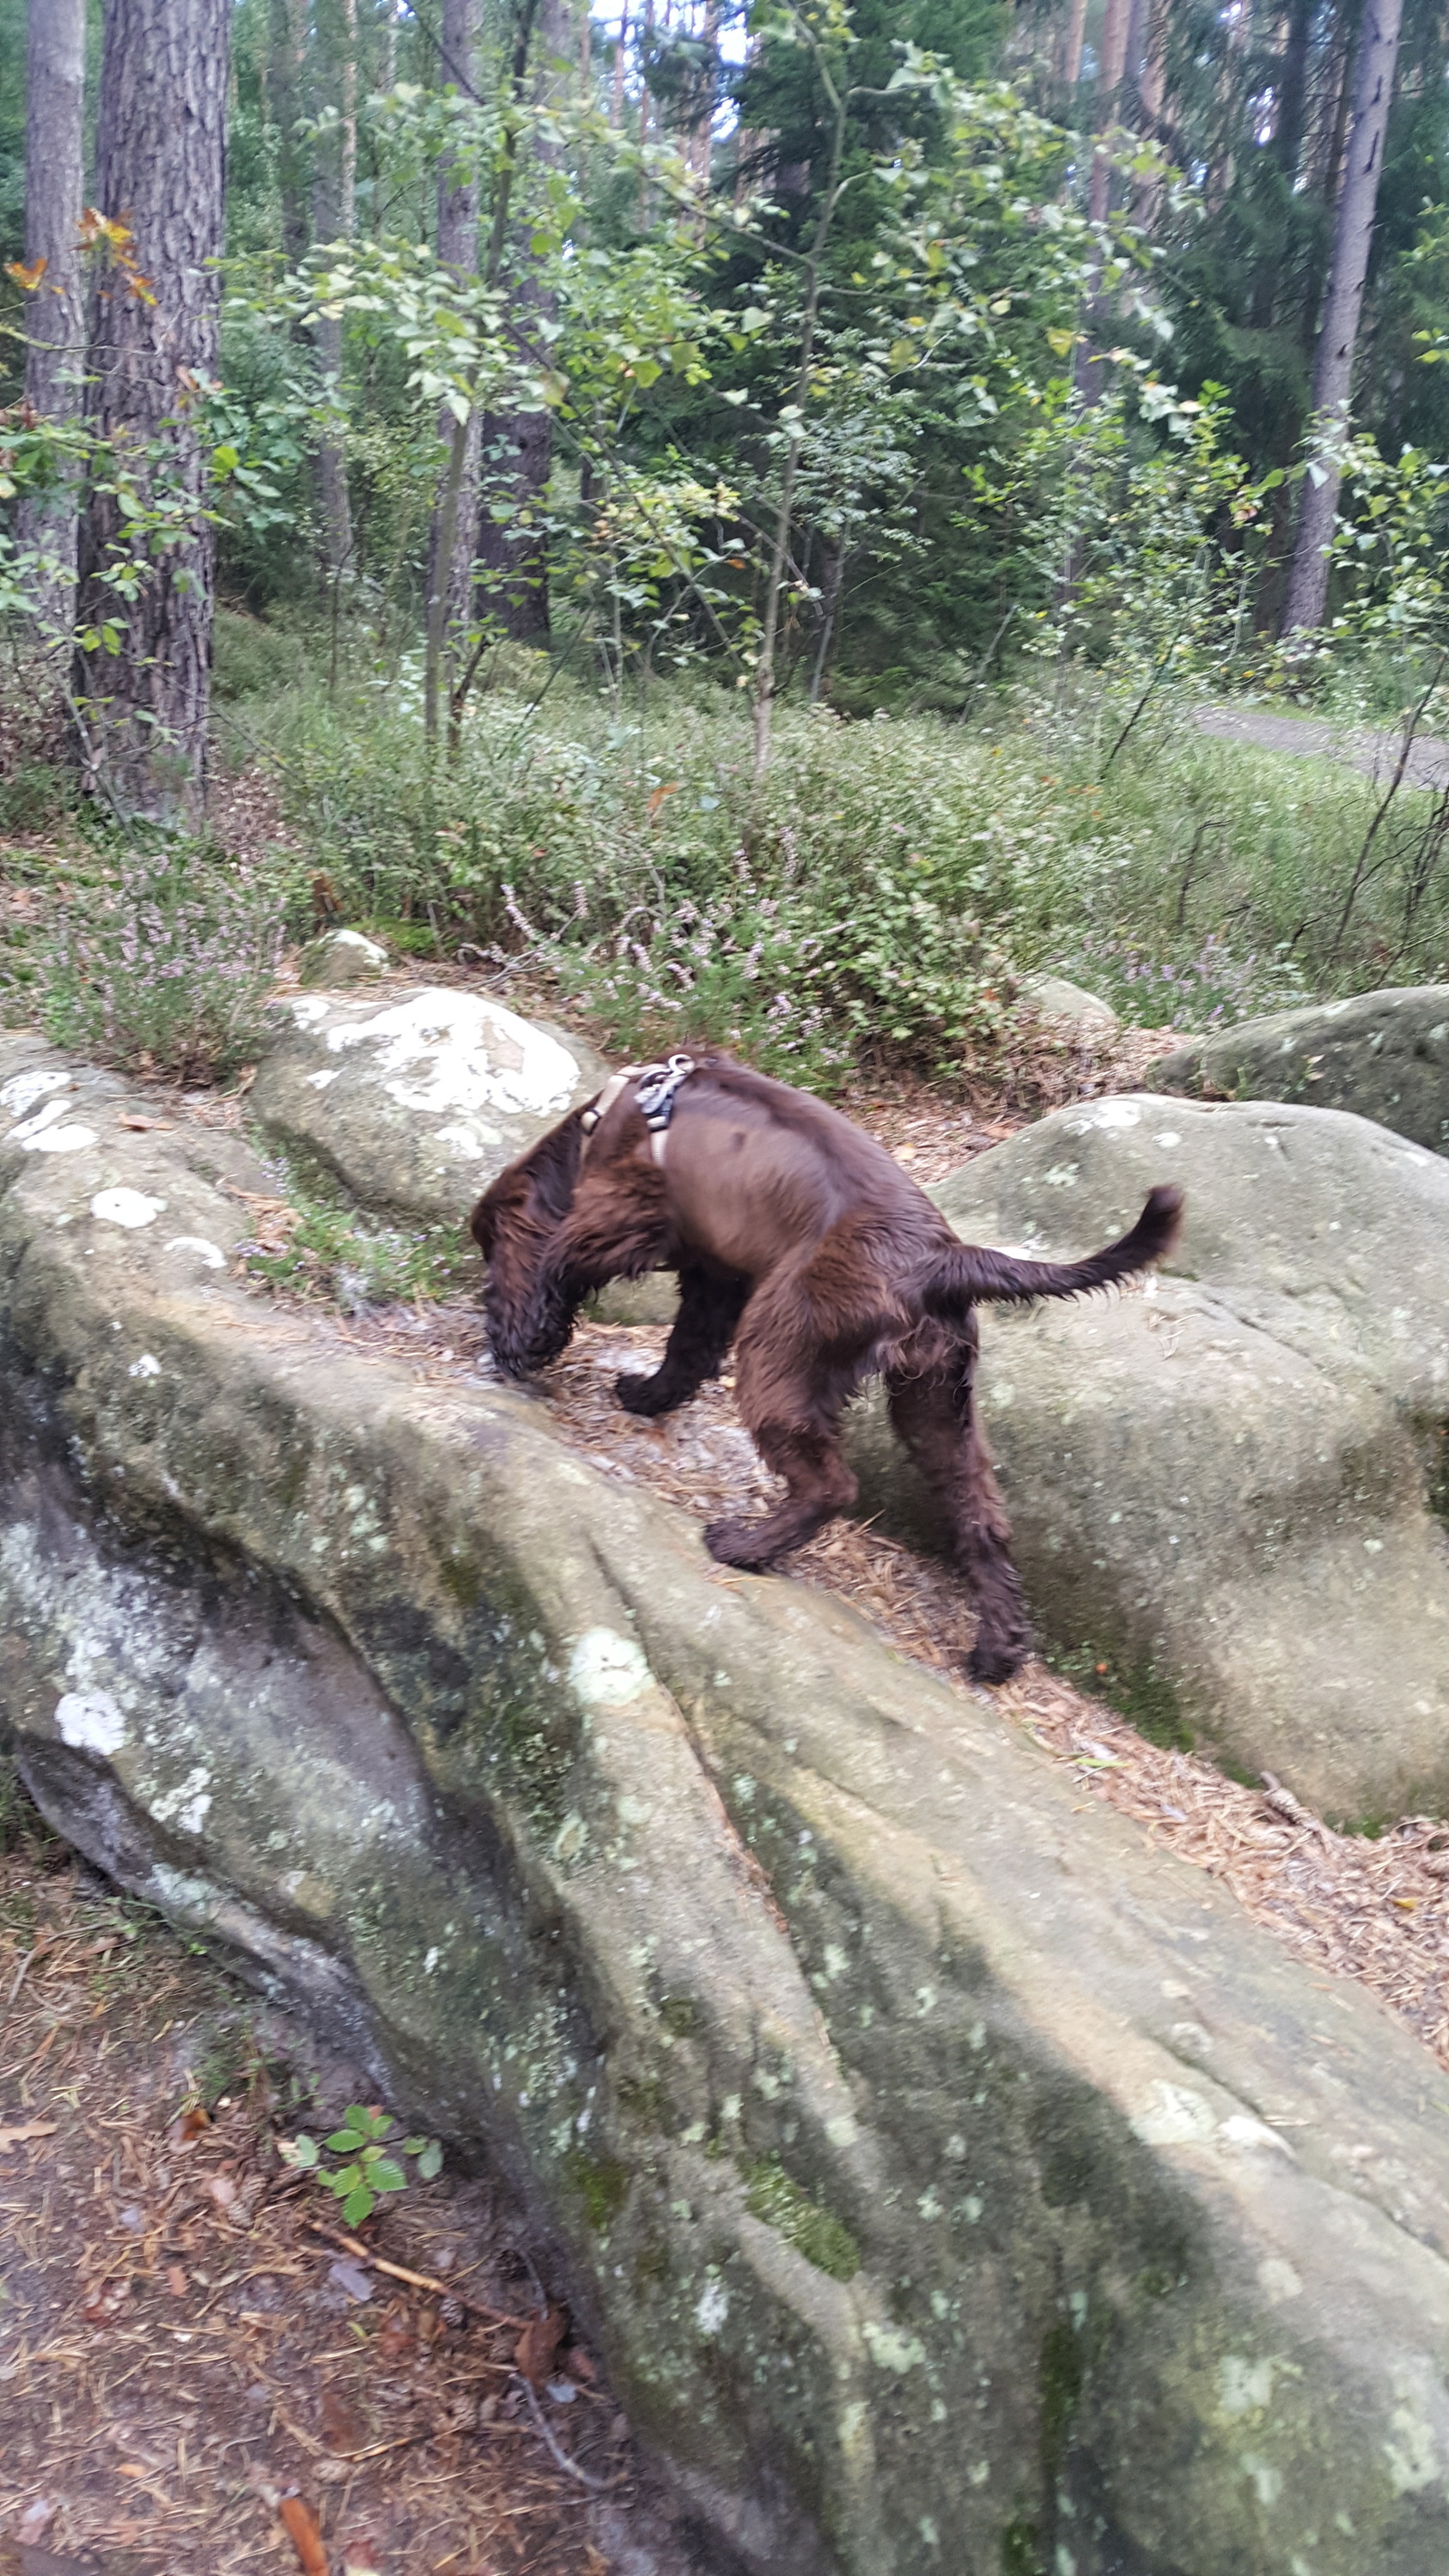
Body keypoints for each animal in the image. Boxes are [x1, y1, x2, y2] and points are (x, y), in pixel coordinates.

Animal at [469, 1051, 1180, 1690]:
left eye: (487, 1248)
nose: (488, 1323)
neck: (606, 1122)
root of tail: (938, 1258)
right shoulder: (715, 1272)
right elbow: (688, 1345)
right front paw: (648, 1395)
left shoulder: (626, 1214)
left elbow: (560, 1262)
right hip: (934, 1401)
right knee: (980, 1515)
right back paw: (996, 1653)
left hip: (780, 1347)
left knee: (832, 1485)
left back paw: (744, 1547)